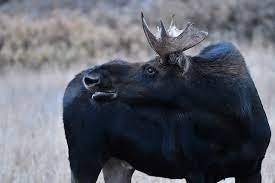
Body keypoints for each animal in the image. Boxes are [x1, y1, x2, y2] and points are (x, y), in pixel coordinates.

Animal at [62, 13, 272, 183]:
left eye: (150, 69)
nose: (92, 78)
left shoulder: (253, 168)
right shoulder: (196, 170)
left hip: (116, 163)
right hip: (83, 157)